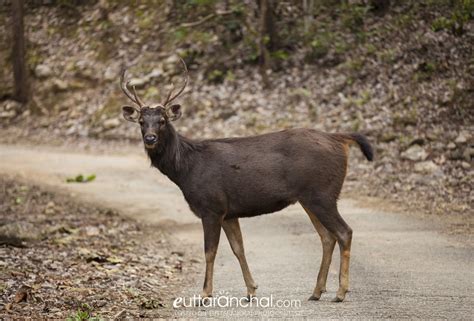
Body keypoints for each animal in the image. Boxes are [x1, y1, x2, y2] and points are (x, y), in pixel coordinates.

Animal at [119, 58, 374, 302]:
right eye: (141, 122)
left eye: (162, 120)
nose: (150, 138)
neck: (187, 170)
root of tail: (339, 139)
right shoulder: (229, 211)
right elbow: (238, 248)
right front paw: (251, 290)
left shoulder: (211, 206)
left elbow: (210, 251)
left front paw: (204, 294)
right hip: (310, 198)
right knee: (327, 237)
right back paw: (317, 291)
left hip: (323, 193)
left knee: (344, 232)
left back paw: (340, 292)